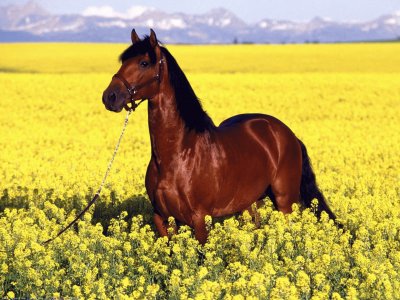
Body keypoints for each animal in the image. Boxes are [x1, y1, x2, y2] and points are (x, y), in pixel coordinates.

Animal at [101, 28, 336, 244]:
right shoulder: (162, 218)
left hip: (285, 201)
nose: (110, 97)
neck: (177, 153)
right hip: (249, 202)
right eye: (124, 61)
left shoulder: (200, 219)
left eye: (143, 63)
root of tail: (287, 134)